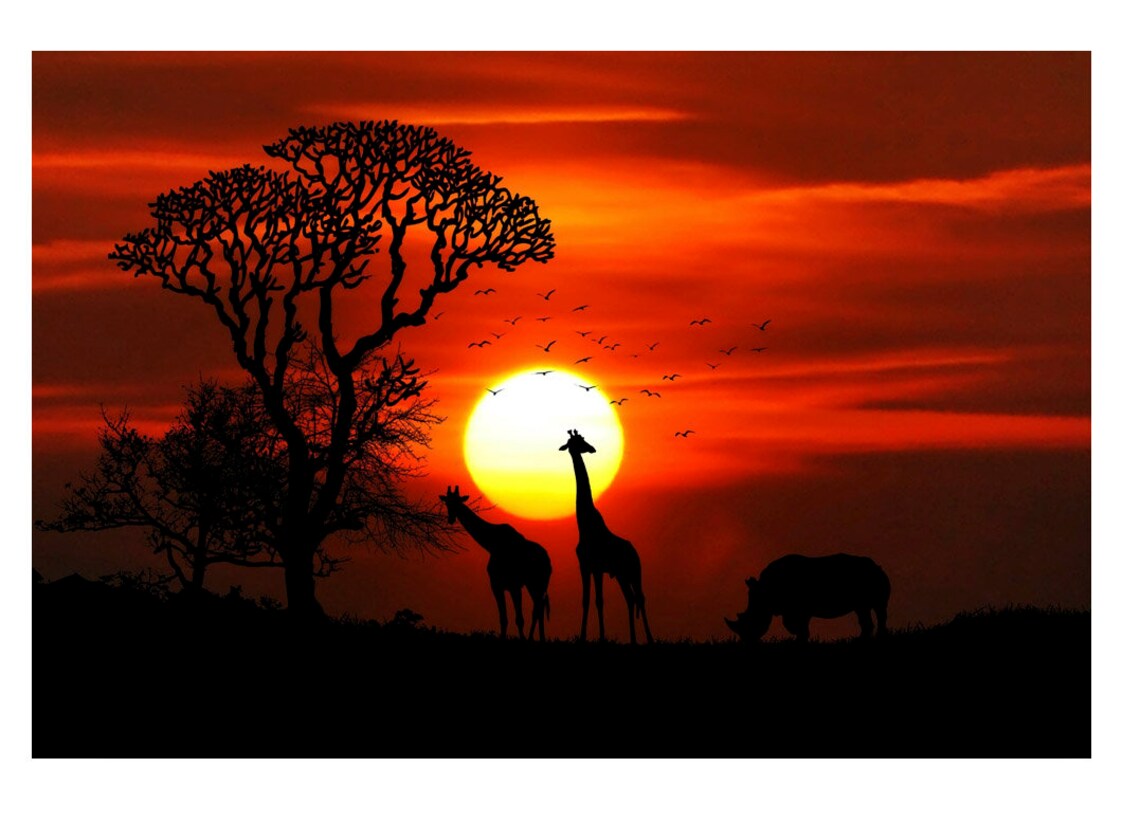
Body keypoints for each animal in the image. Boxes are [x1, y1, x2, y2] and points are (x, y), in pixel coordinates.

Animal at [438, 486, 552, 641]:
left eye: (458, 502)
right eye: (447, 503)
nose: (451, 519)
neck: (492, 544)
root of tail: (548, 561)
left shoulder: (514, 585)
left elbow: (519, 619)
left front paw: (522, 639)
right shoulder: (496, 584)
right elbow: (503, 619)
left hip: (538, 583)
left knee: (538, 609)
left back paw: (532, 638)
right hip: (533, 585)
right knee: (539, 607)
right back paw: (539, 638)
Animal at [559, 429, 653, 644]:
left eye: (583, 439)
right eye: (578, 442)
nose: (592, 448)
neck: (585, 526)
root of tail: (635, 552)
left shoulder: (597, 568)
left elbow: (599, 601)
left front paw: (602, 637)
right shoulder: (585, 566)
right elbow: (586, 600)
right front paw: (582, 637)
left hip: (634, 572)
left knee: (640, 598)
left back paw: (650, 638)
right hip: (621, 575)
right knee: (630, 599)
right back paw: (633, 639)